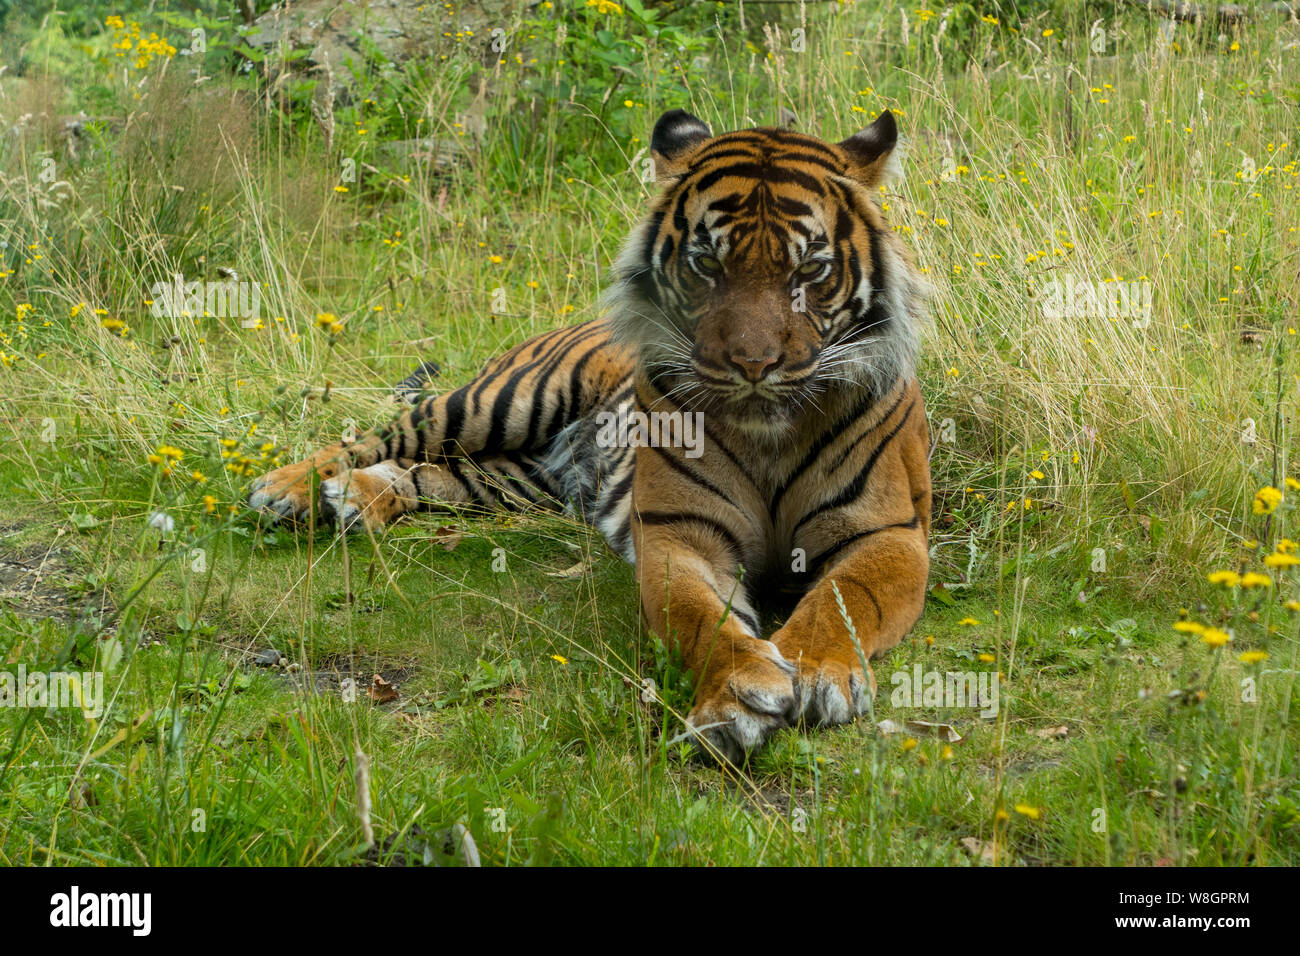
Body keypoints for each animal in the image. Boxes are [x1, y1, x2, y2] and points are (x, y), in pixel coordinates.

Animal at [245, 108, 935, 764]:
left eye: (810, 269)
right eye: (708, 264)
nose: (754, 364)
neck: (769, 436)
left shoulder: (887, 532)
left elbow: (840, 600)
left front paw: (819, 673)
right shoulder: (678, 533)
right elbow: (697, 616)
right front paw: (736, 697)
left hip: (512, 478)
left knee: (423, 473)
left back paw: (355, 499)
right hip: (500, 402)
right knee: (378, 437)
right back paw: (288, 489)